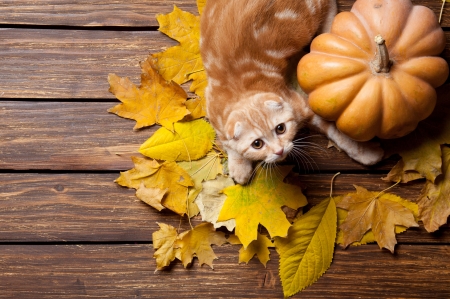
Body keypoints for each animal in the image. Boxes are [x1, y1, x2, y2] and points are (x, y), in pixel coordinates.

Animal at [200, 0, 384, 185]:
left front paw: (364, 152)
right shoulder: (212, 108)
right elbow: (229, 143)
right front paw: (239, 166)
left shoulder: (303, 104)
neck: (241, 92)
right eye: (257, 144)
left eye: (280, 128)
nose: (279, 151)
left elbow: (335, 131)